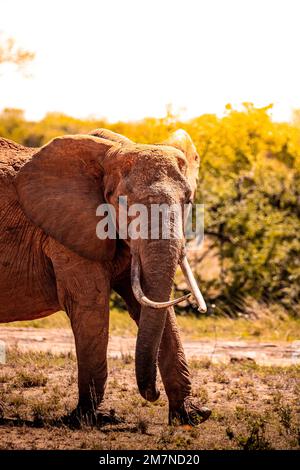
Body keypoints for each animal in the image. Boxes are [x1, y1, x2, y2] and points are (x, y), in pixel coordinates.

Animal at [0, 129, 211, 426]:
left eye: (188, 200)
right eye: (123, 203)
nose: (153, 394)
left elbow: (150, 304)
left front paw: (192, 416)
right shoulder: (68, 232)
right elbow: (91, 305)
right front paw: (87, 419)